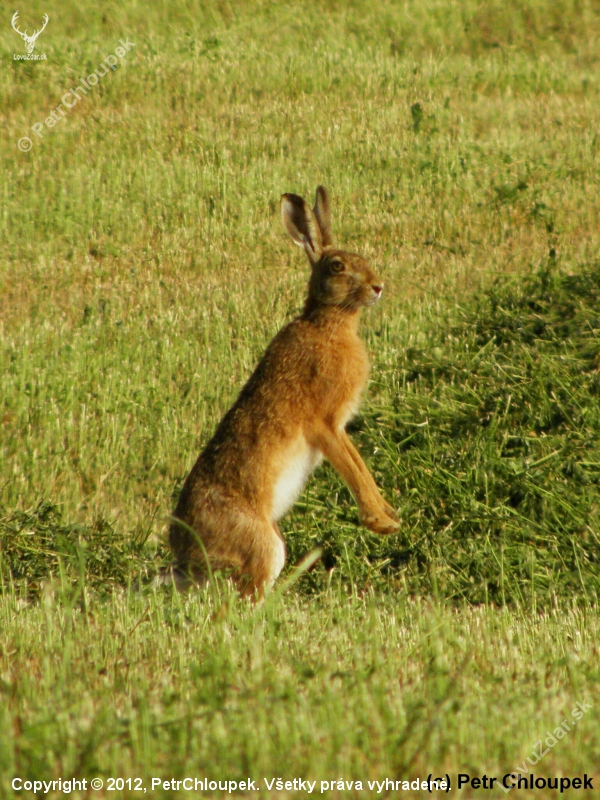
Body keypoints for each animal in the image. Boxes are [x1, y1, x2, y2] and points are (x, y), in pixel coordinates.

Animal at [169, 186, 399, 599]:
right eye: (337, 266)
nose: (378, 286)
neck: (329, 324)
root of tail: (184, 553)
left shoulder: (339, 427)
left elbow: (359, 465)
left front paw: (389, 513)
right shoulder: (325, 423)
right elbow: (351, 469)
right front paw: (381, 524)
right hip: (262, 546)